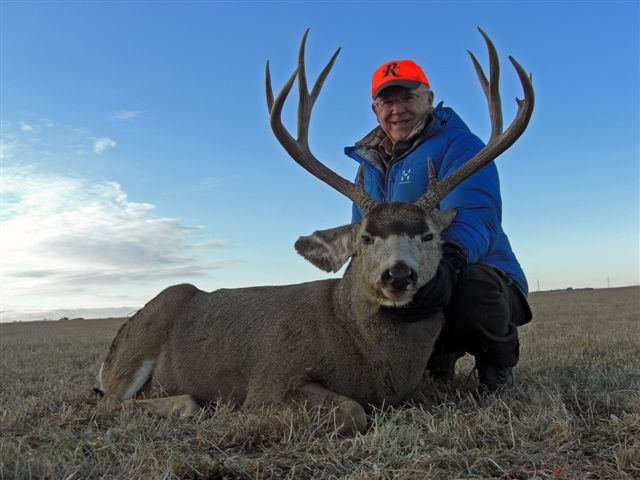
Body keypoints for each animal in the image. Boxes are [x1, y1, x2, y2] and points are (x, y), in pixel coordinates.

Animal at [96, 29, 536, 436]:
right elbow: (352, 411)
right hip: (151, 327)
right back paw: (185, 404)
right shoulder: (270, 380)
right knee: (112, 403)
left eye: (430, 236)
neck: (360, 349)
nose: (397, 275)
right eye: (365, 238)